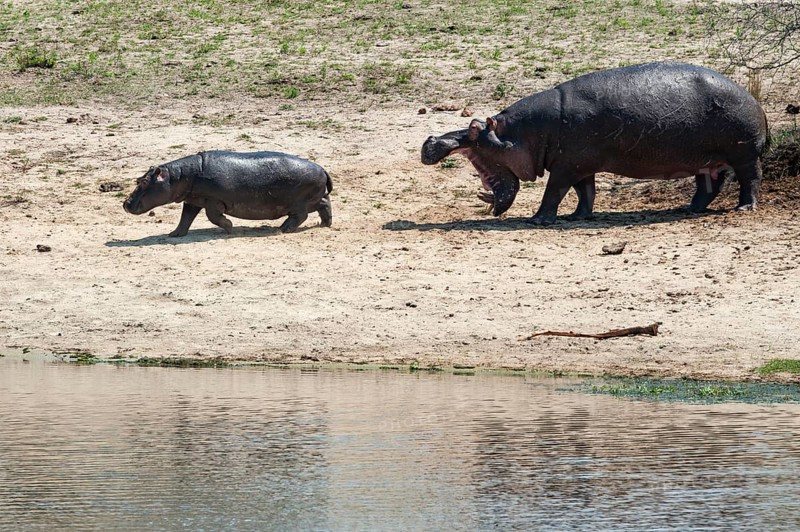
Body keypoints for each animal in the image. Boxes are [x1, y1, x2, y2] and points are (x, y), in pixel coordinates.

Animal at [123, 150, 332, 236]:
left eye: (143, 182)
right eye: (137, 179)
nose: (125, 203)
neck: (181, 176)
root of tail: (323, 168)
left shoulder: (214, 201)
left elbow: (213, 217)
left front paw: (230, 227)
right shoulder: (193, 200)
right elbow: (185, 218)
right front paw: (174, 235)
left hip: (300, 203)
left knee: (301, 216)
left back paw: (283, 229)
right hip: (315, 198)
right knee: (325, 204)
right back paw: (325, 224)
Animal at [422, 62, 770, 225]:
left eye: (474, 128)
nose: (431, 140)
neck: (522, 133)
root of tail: (755, 101)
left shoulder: (565, 166)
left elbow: (554, 191)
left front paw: (538, 220)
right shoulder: (579, 164)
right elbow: (585, 192)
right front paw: (578, 217)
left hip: (744, 154)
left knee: (750, 179)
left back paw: (744, 208)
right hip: (705, 160)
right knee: (709, 184)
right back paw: (689, 208)